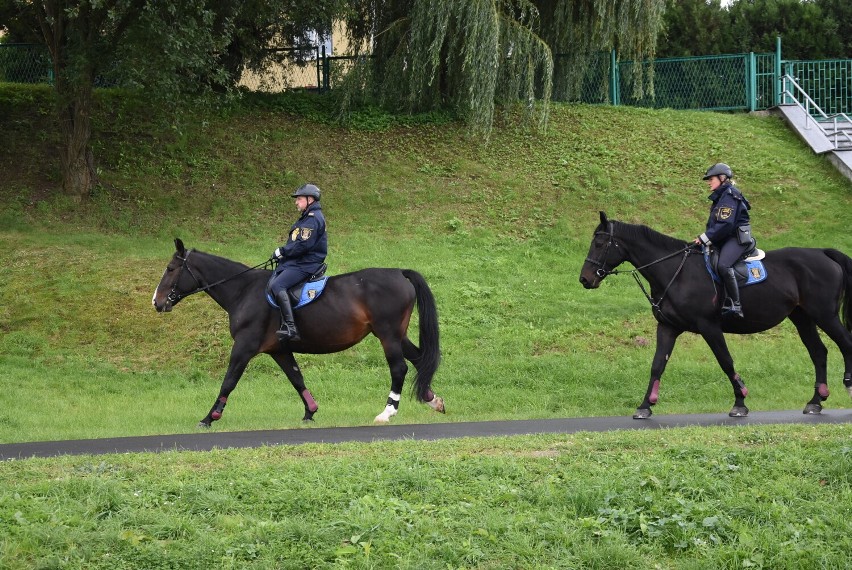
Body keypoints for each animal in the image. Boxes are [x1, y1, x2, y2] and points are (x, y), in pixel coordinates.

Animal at [153, 237, 446, 424]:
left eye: (170, 268)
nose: (157, 302)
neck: (243, 291)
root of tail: (399, 272)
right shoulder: (279, 350)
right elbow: (296, 378)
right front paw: (310, 411)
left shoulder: (244, 347)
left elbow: (229, 380)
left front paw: (210, 417)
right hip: (397, 335)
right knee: (418, 359)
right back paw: (433, 400)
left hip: (388, 335)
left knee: (399, 368)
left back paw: (387, 412)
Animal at [580, 211, 852, 420]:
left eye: (600, 244)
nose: (585, 279)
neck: (676, 272)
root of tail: (823, 252)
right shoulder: (667, 328)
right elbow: (657, 365)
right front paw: (645, 406)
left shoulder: (709, 327)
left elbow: (726, 361)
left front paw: (740, 402)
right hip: (803, 317)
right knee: (819, 352)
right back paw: (816, 401)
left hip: (825, 315)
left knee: (845, 344)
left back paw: (847, 385)